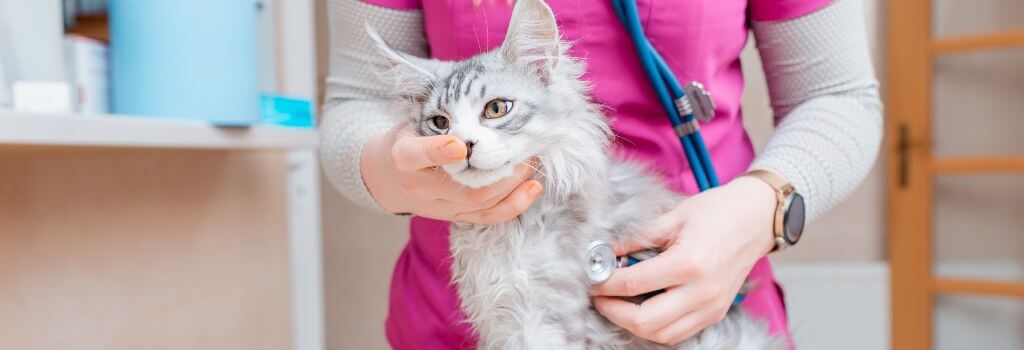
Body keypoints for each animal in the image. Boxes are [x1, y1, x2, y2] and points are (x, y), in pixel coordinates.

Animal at [370, 0, 782, 347]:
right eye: (440, 123)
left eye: (497, 108)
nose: (462, 145)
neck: (508, 231)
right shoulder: (501, 318)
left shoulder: (546, 320)